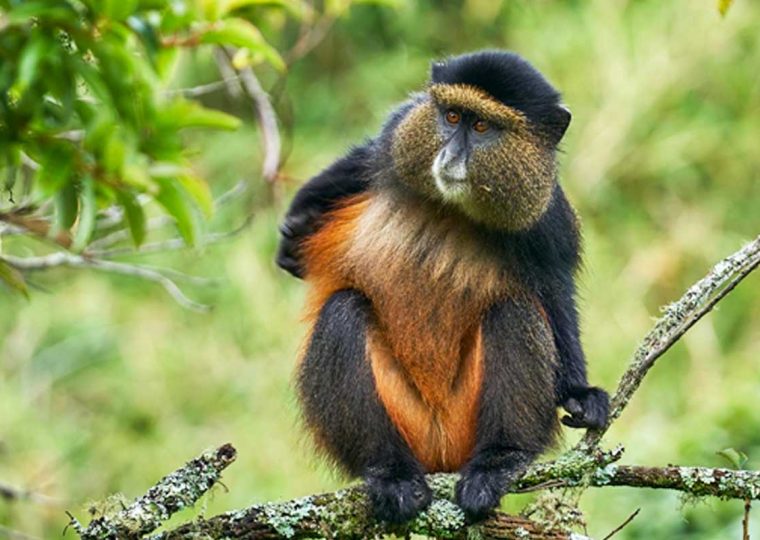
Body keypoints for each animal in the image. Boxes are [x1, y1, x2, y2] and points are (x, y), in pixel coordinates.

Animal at [276, 50, 609, 523]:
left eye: (482, 127)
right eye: (451, 116)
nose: (450, 155)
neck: (453, 208)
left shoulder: (547, 221)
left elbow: (555, 297)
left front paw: (580, 394)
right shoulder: (395, 138)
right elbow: (360, 161)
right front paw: (297, 226)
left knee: (515, 312)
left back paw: (496, 464)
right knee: (341, 312)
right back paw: (391, 474)